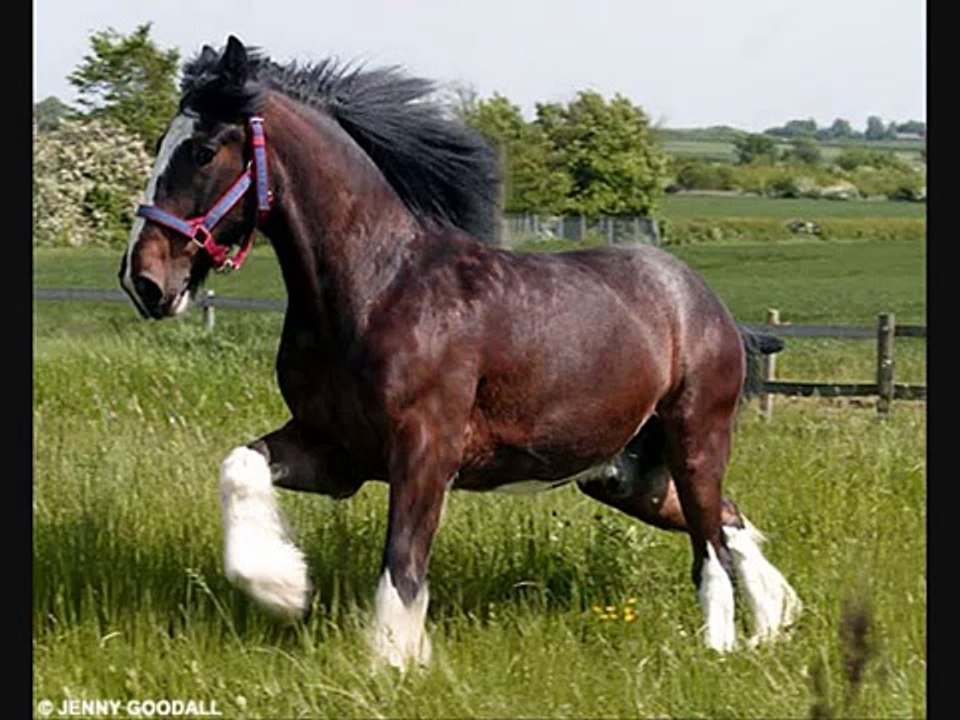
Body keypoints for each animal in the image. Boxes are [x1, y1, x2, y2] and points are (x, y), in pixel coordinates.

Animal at [118, 36, 800, 669]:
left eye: (203, 150)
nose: (144, 282)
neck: (377, 289)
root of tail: (705, 303)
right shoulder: (336, 449)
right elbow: (239, 465)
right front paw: (285, 588)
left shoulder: (426, 450)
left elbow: (402, 563)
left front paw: (391, 662)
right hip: (625, 473)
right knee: (729, 523)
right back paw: (775, 623)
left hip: (695, 439)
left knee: (710, 547)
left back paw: (722, 644)